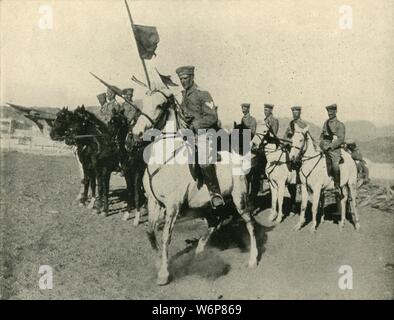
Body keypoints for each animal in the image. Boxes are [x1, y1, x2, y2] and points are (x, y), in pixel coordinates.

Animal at [133, 88, 258, 284]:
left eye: (159, 105)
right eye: (143, 102)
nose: (136, 134)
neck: (165, 158)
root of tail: (240, 159)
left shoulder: (173, 206)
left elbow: (166, 237)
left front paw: (163, 273)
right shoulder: (154, 202)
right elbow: (150, 232)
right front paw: (158, 262)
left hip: (240, 200)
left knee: (250, 224)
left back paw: (253, 259)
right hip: (207, 205)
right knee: (215, 222)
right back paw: (199, 250)